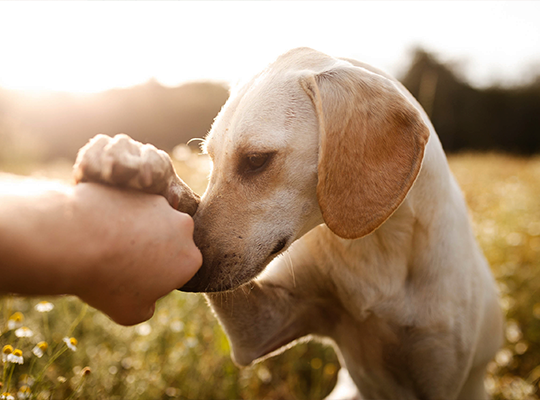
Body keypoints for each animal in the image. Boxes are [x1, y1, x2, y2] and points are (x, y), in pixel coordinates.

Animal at [75, 47, 502, 400]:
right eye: (210, 159)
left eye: (256, 160)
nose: (190, 276)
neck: (375, 247)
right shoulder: (262, 329)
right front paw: (136, 162)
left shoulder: (437, 373)